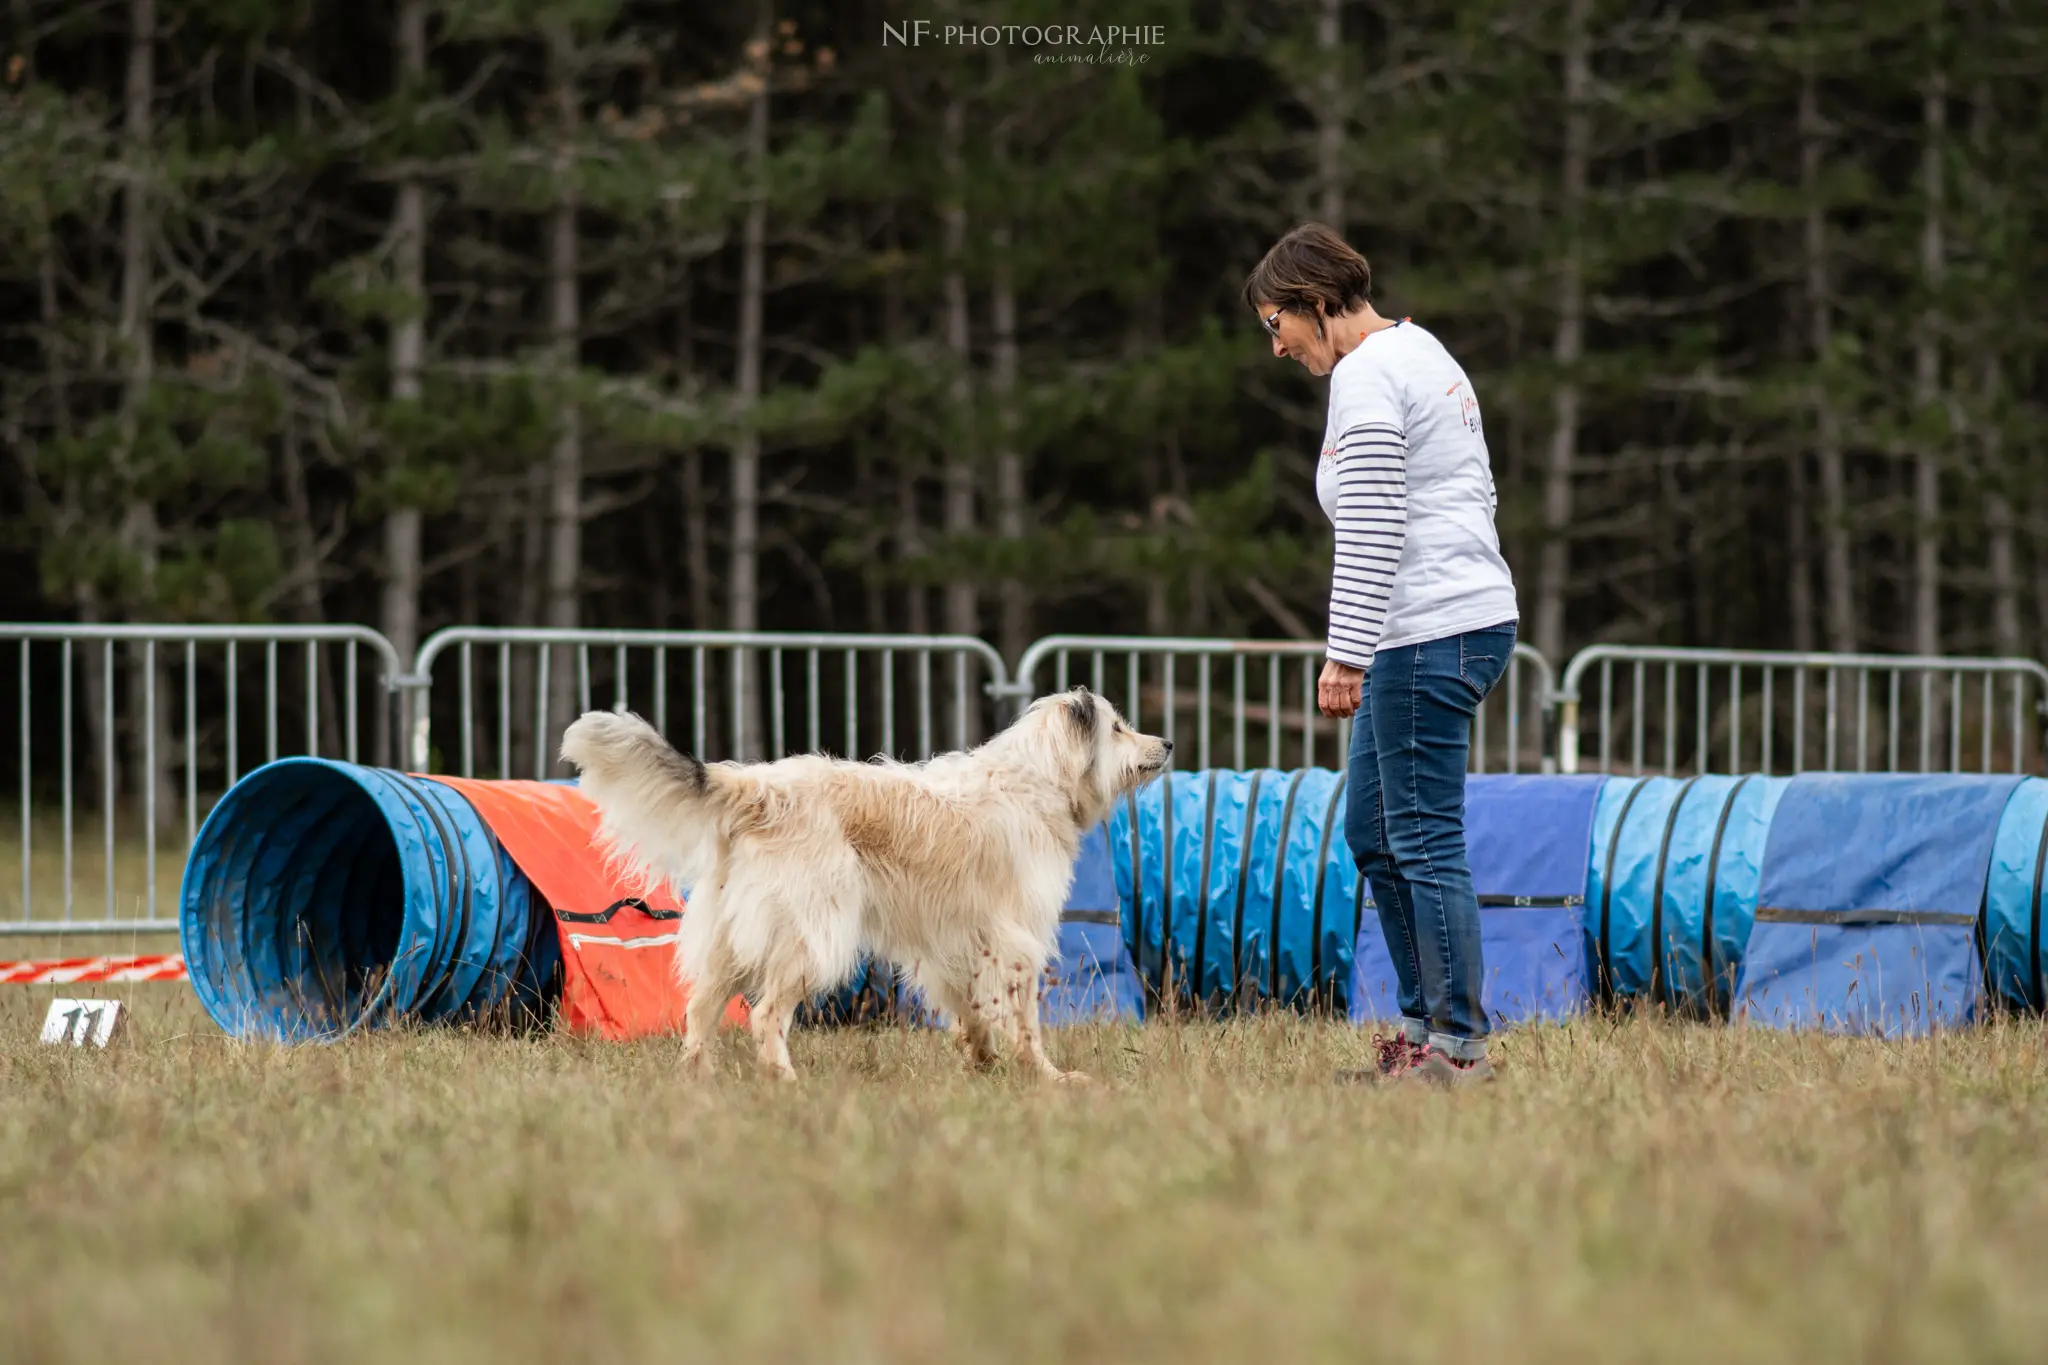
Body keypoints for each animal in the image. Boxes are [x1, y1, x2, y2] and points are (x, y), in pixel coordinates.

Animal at [561, 687, 1171, 1080]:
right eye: (1118, 728)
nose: (1166, 745)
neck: (1038, 780)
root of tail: (759, 789)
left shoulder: (958, 943)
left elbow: (974, 1010)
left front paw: (983, 1062)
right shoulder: (1015, 940)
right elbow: (1023, 1020)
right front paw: (1046, 1076)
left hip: (728, 939)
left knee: (700, 1009)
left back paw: (698, 1078)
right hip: (814, 936)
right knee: (765, 1014)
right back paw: (784, 1081)